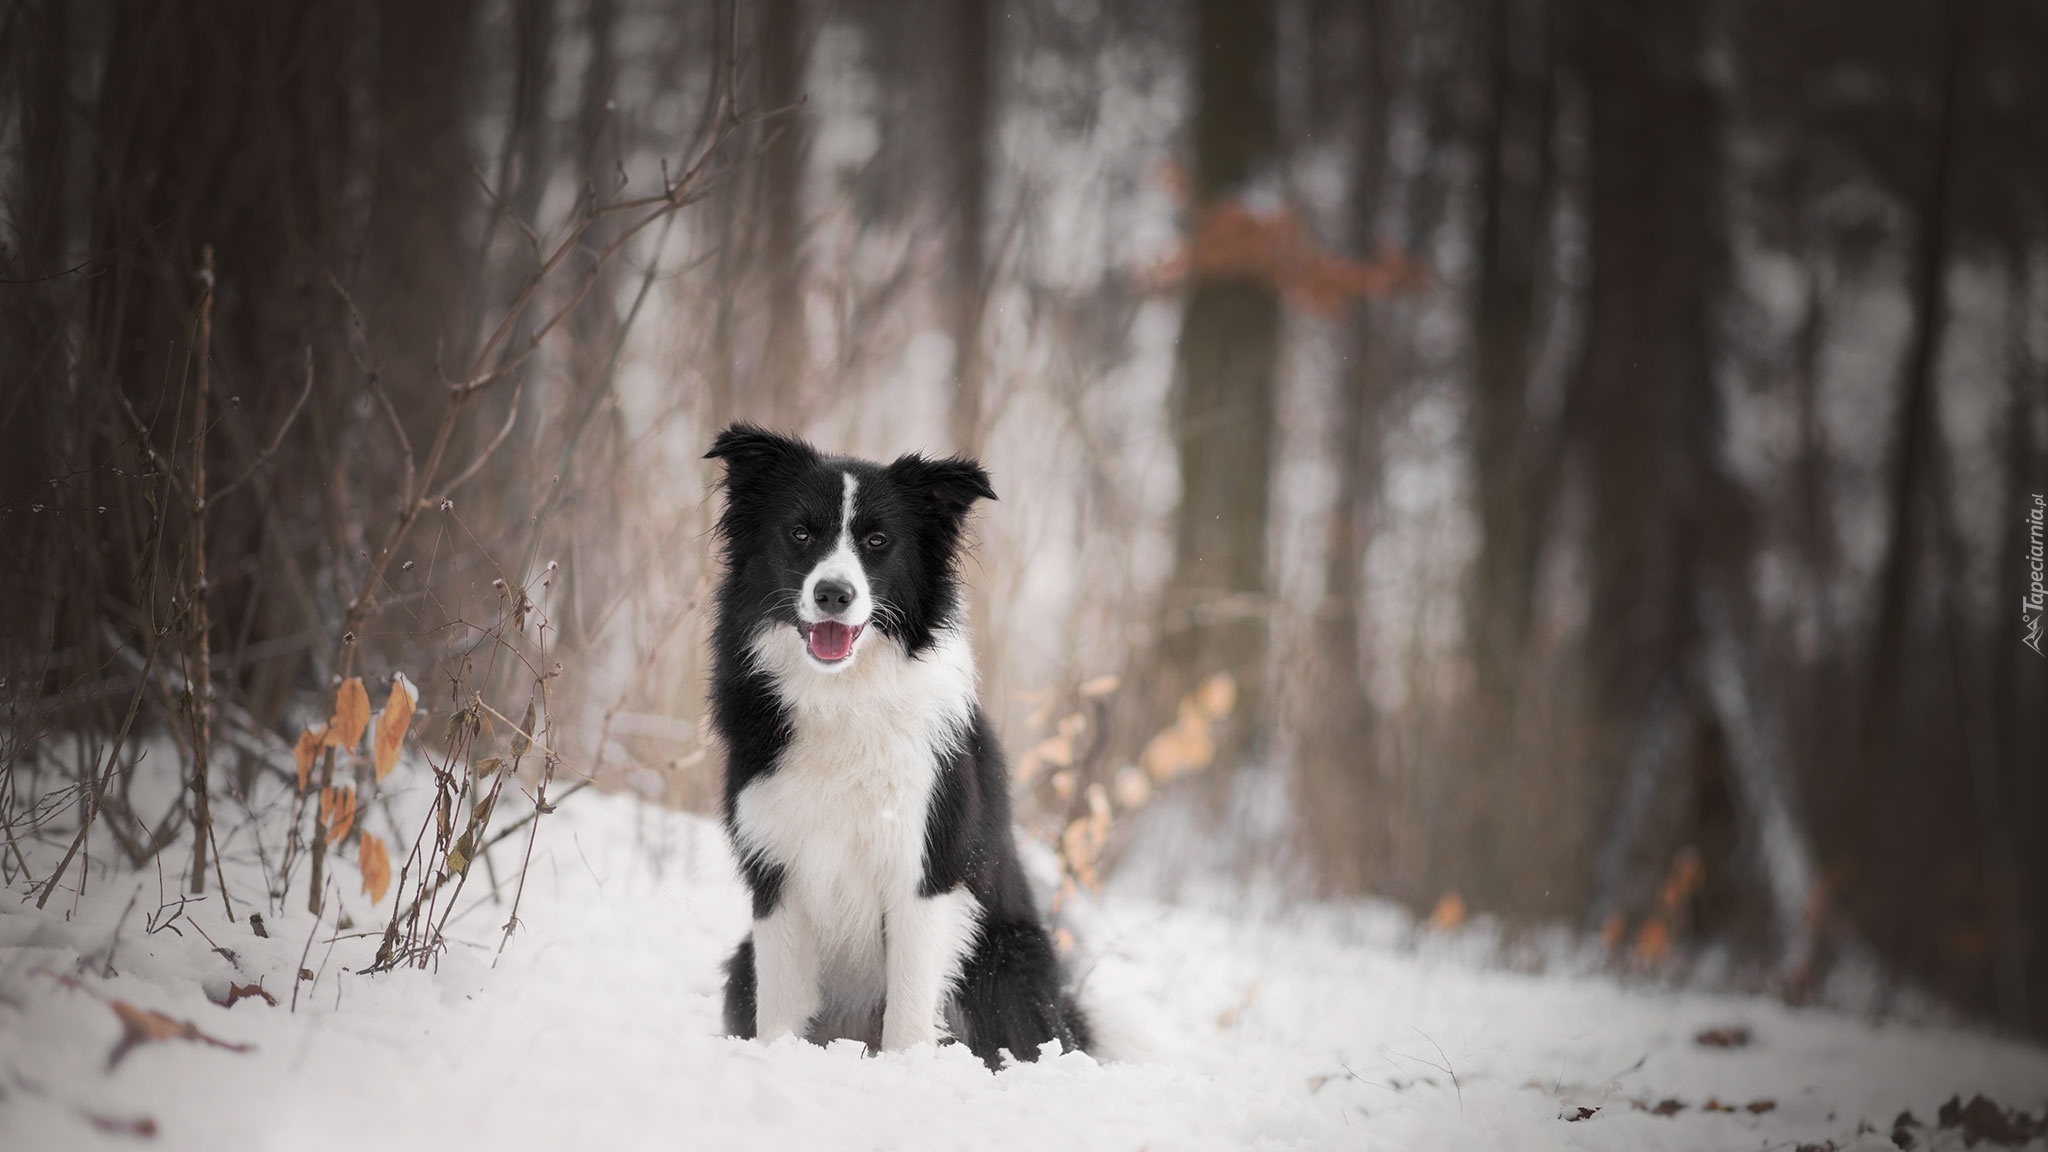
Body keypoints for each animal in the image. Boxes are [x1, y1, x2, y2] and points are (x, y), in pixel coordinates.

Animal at [704, 422, 1089, 1065]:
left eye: (878, 540)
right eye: (800, 533)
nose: (833, 594)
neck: (842, 695)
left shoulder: (924, 868)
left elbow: (909, 1011)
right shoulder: (775, 871)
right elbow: (780, 1006)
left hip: (1005, 961)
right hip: (741, 962)